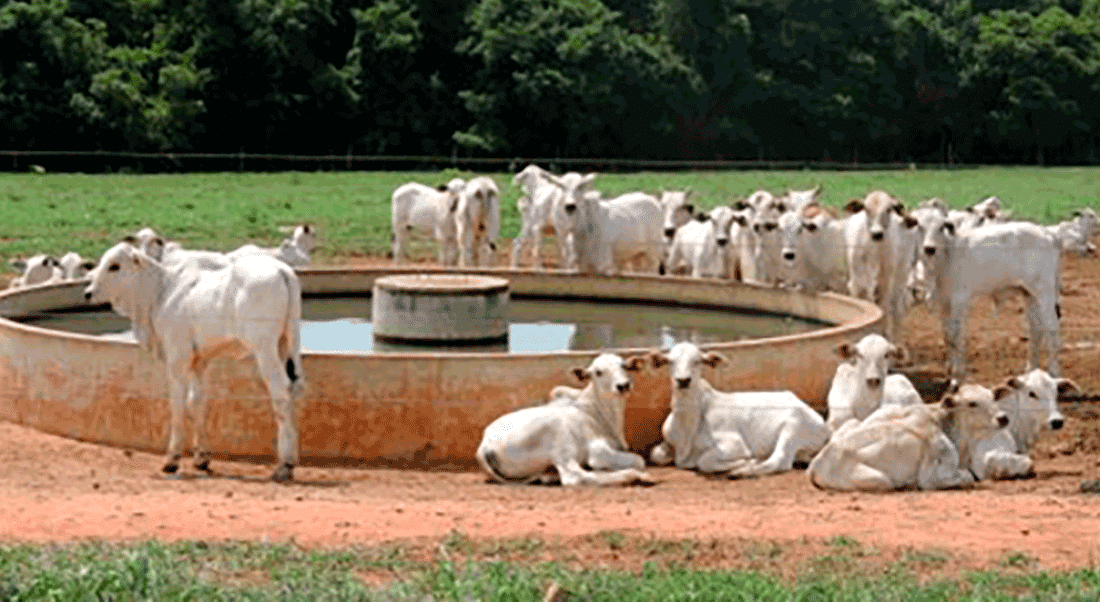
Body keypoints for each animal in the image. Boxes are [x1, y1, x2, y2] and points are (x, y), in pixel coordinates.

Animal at [83, 240, 305, 482]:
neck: (159, 292)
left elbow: (178, 405)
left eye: (115, 266)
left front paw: (172, 459)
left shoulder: (177, 357)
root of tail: (280, 269)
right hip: (285, 344)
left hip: (264, 349)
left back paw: (285, 465)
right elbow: (196, 402)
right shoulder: (199, 361)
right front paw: (201, 458)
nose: (87, 293)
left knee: (280, 391)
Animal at [475, 353, 651, 486]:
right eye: (598, 372)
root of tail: (484, 445)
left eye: (623, 366)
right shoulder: (597, 449)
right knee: (573, 477)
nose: (623, 385)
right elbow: (638, 460)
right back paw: (635, 476)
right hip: (560, 441)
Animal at [648, 342, 829, 477]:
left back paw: (741, 471)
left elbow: (704, 461)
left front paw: (746, 462)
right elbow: (655, 454)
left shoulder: (735, 445)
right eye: (670, 361)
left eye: (698, 361)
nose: (683, 380)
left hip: (793, 428)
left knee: (779, 460)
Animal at [917, 210, 1062, 380]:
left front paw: (957, 375)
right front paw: (950, 370)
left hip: (1045, 292)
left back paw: (1054, 372)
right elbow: (947, 336)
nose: (929, 248)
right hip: (1029, 294)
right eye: (919, 226)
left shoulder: (960, 301)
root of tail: (1048, 233)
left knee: (1051, 328)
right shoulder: (943, 303)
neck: (946, 257)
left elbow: (956, 337)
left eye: (941, 227)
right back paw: (1030, 371)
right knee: (1036, 329)